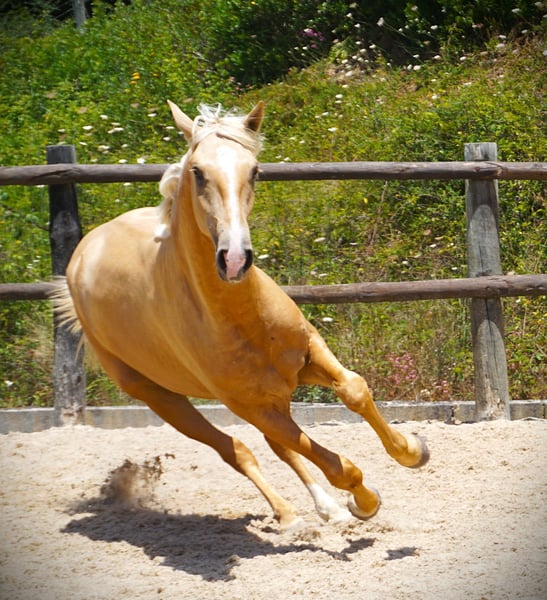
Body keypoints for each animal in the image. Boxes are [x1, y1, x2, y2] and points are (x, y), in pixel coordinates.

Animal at [53, 100, 429, 528]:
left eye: (254, 170)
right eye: (198, 172)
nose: (234, 258)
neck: (243, 318)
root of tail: (83, 253)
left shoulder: (309, 353)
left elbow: (353, 389)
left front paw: (412, 450)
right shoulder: (249, 405)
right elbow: (337, 466)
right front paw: (364, 503)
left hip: (268, 394)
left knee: (276, 446)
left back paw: (326, 508)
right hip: (162, 398)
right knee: (236, 450)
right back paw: (289, 514)